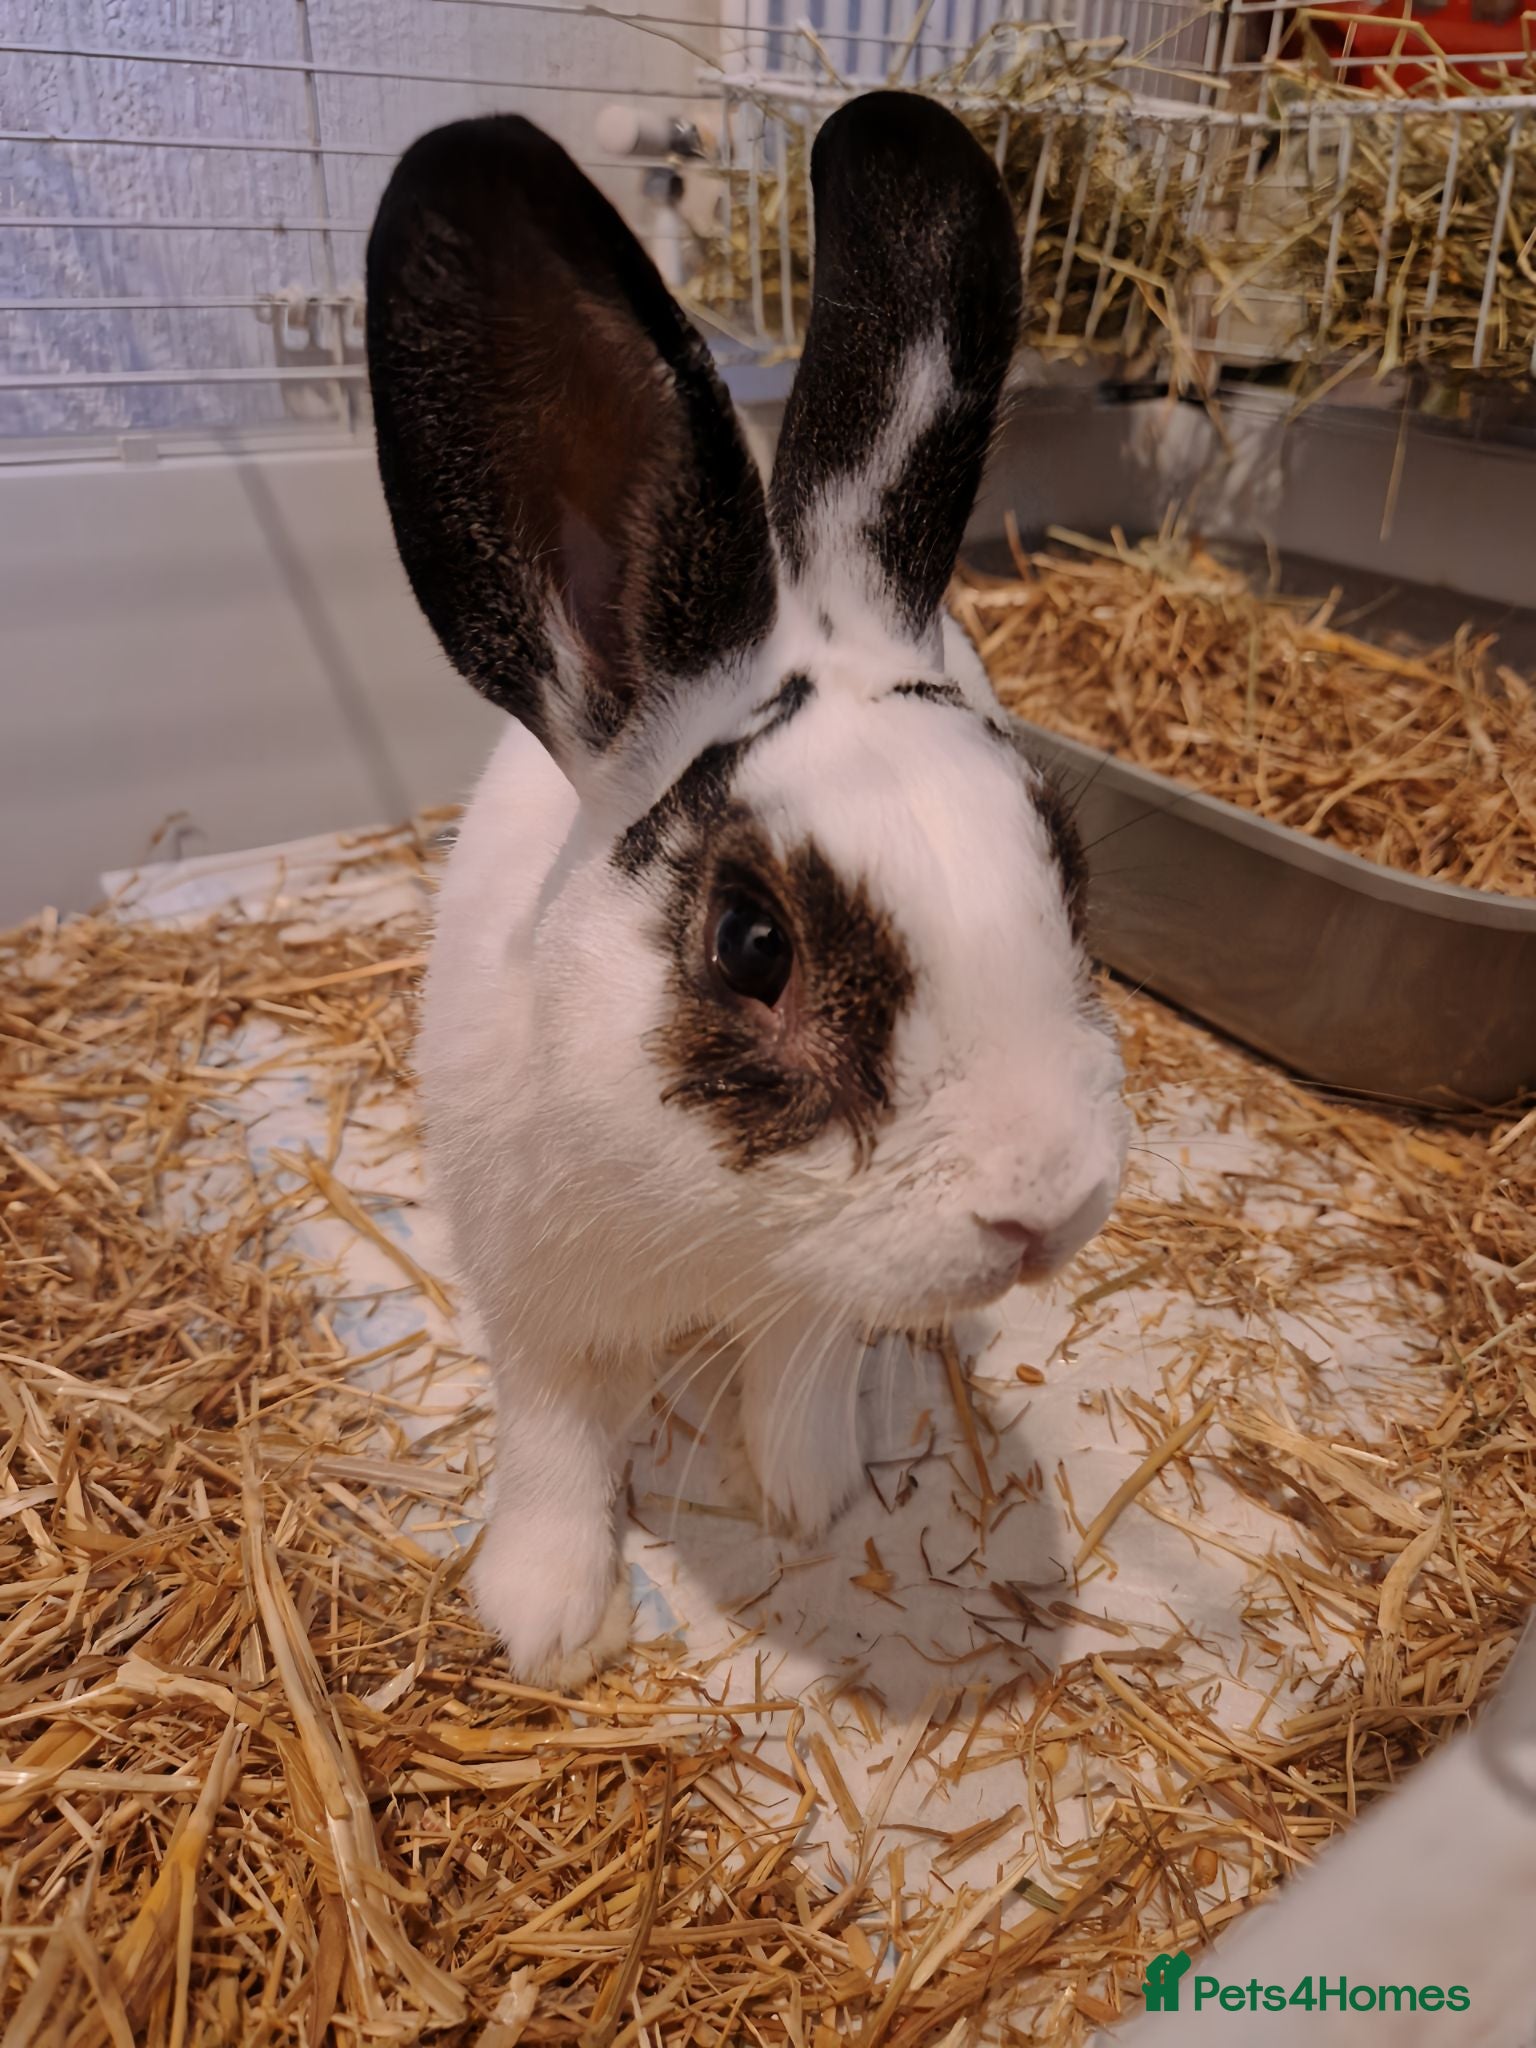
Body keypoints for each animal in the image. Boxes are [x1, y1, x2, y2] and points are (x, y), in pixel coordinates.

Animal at [365, 91, 1129, 1686]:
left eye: (1069, 875)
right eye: (751, 942)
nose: (1050, 1207)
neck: (712, 1227)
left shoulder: (818, 1302)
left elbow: (800, 1378)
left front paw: (811, 1498)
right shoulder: (538, 1305)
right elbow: (555, 1443)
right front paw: (544, 1617)